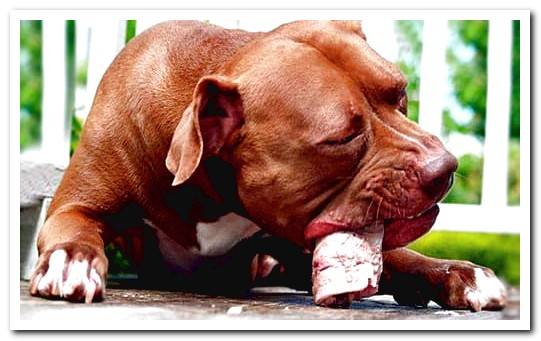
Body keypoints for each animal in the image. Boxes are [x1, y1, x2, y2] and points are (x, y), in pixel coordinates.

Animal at [28, 19, 506, 310]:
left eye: (401, 94)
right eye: (342, 138)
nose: (445, 166)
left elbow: (397, 255)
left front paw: (453, 272)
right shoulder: (75, 206)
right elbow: (75, 226)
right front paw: (71, 260)